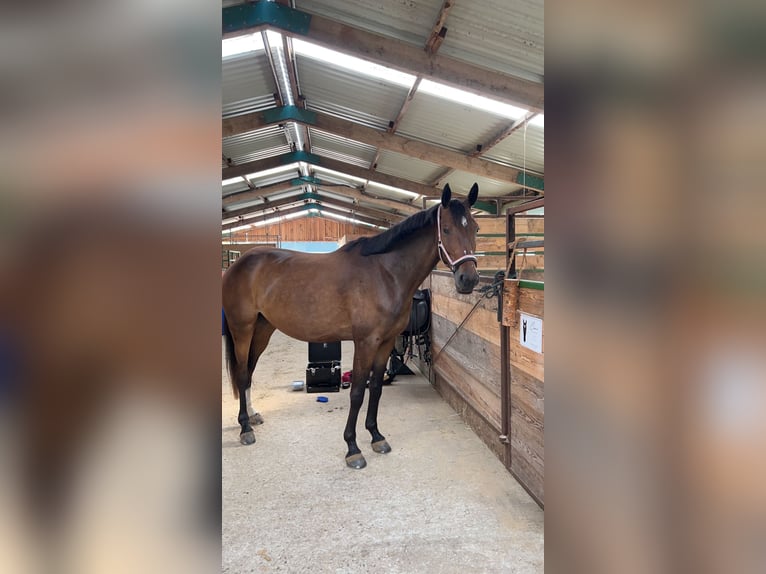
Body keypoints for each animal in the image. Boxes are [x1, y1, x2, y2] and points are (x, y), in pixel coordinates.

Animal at [220, 182, 480, 470]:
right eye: (446, 229)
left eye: (475, 228)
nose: (468, 279)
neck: (385, 273)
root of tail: (239, 264)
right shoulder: (365, 342)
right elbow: (356, 392)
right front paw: (352, 448)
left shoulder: (386, 342)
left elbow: (375, 388)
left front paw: (376, 436)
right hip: (242, 329)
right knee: (241, 373)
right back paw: (245, 428)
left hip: (262, 329)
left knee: (249, 372)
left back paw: (253, 416)